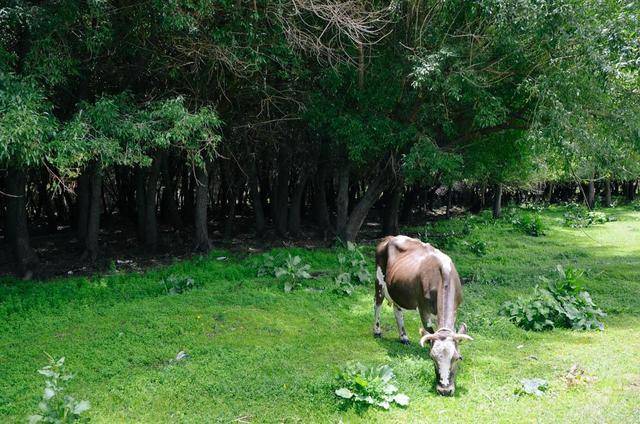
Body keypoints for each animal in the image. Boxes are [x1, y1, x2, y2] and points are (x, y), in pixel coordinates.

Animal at [372, 234, 472, 396]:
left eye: (458, 358)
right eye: (433, 358)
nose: (445, 390)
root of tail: (390, 237)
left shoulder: (456, 308)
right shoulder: (423, 308)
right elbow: (429, 331)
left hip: (397, 289)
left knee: (397, 310)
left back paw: (404, 337)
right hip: (379, 279)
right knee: (377, 303)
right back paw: (377, 331)